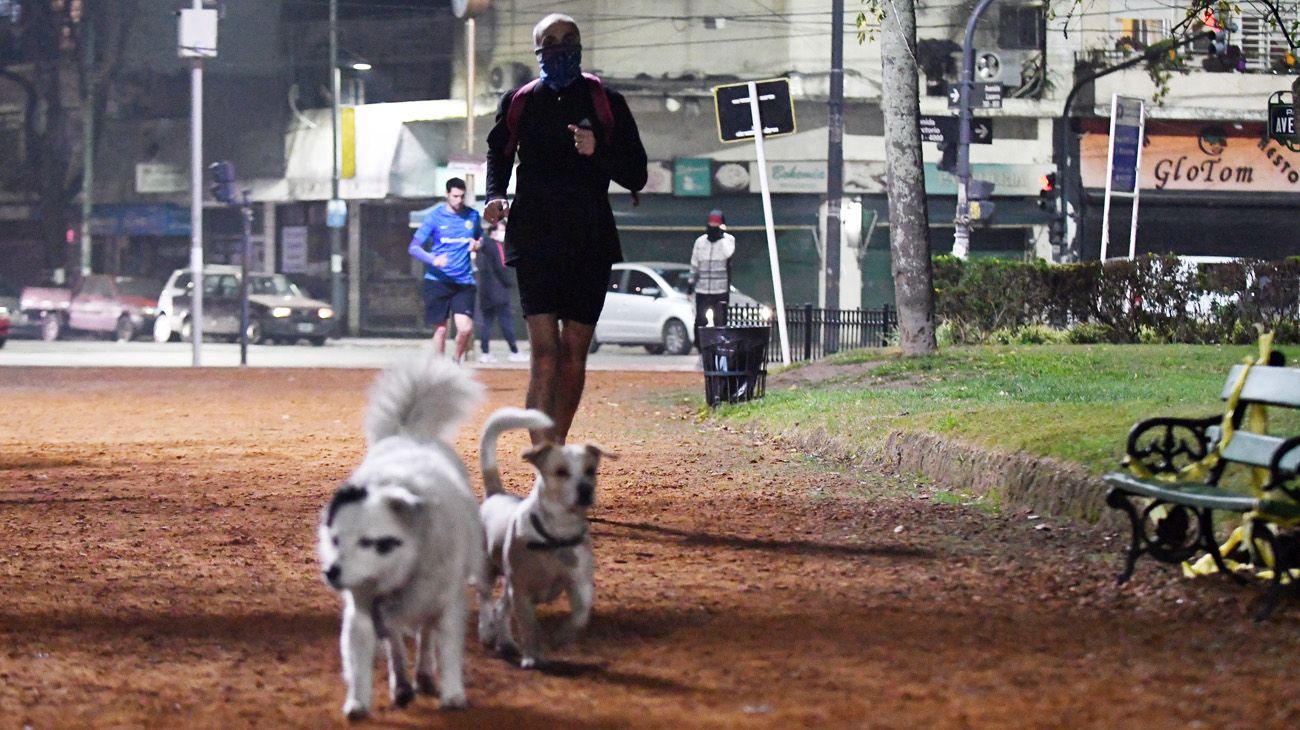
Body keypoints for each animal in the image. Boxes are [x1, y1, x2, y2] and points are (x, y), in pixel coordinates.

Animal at [319, 350, 488, 717]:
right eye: (336, 541)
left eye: (369, 542)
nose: (331, 572)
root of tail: (409, 432)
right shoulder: (363, 609)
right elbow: (360, 655)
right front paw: (358, 702)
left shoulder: (448, 604)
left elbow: (446, 648)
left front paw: (452, 694)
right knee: (395, 641)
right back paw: (402, 684)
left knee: (425, 636)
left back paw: (422, 675)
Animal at [480, 405, 616, 670]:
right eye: (561, 472)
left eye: (590, 471)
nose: (586, 490)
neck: (556, 536)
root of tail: (496, 495)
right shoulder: (521, 590)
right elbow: (529, 626)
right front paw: (532, 656)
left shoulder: (580, 584)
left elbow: (580, 616)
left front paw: (559, 638)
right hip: (485, 573)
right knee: (486, 602)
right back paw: (487, 632)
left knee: (500, 608)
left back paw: (506, 642)